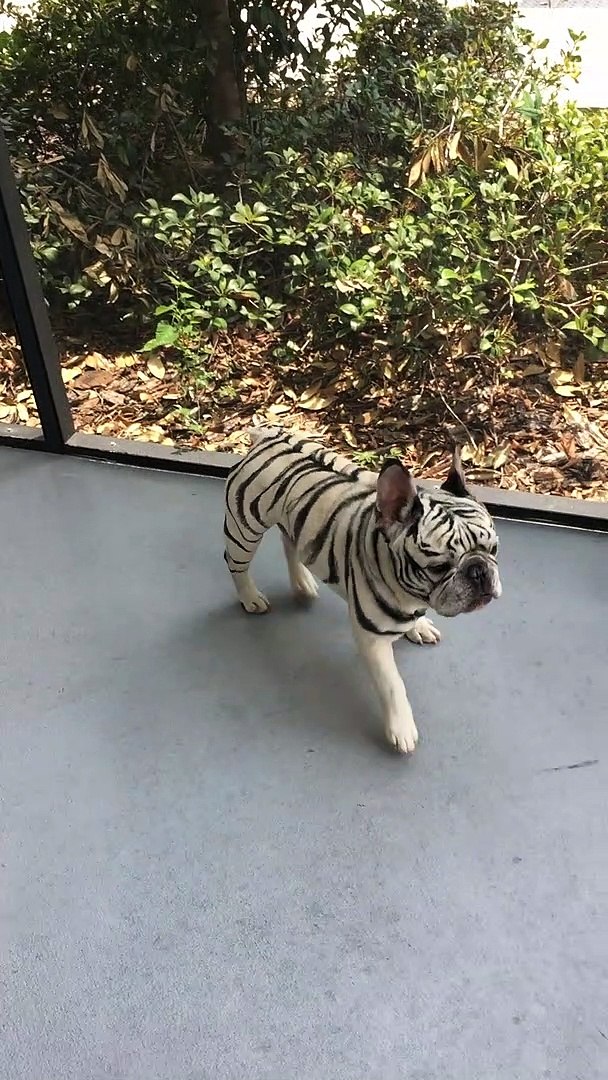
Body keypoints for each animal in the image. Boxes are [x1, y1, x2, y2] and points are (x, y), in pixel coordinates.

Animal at [223, 427, 502, 755]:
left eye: (493, 549)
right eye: (439, 567)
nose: (479, 571)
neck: (407, 588)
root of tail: (267, 435)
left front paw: (417, 626)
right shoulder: (373, 641)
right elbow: (392, 685)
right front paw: (401, 728)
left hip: (292, 521)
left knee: (290, 542)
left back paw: (302, 584)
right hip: (244, 530)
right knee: (237, 564)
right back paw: (250, 597)